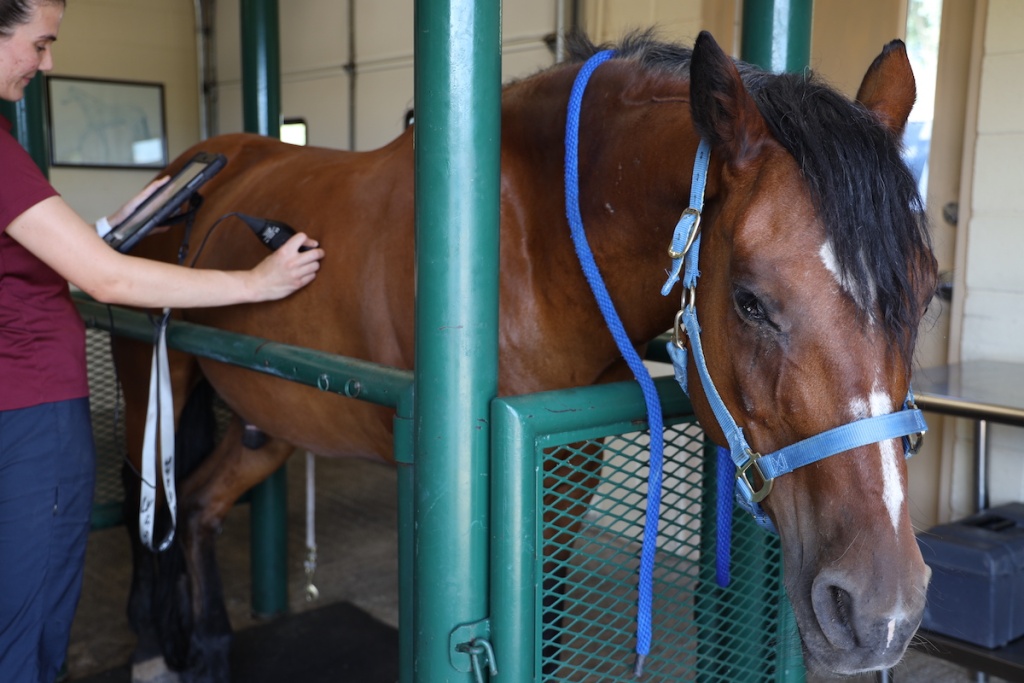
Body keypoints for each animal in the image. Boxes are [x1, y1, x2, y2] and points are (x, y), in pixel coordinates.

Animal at [110, 29, 937, 682]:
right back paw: (155, 632)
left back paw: (208, 649)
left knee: (201, 509)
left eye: (926, 293)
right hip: (152, 377)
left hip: (272, 419)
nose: (882, 610)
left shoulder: (559, 475)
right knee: (145, 496)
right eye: (750, 300)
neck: (537, 239)